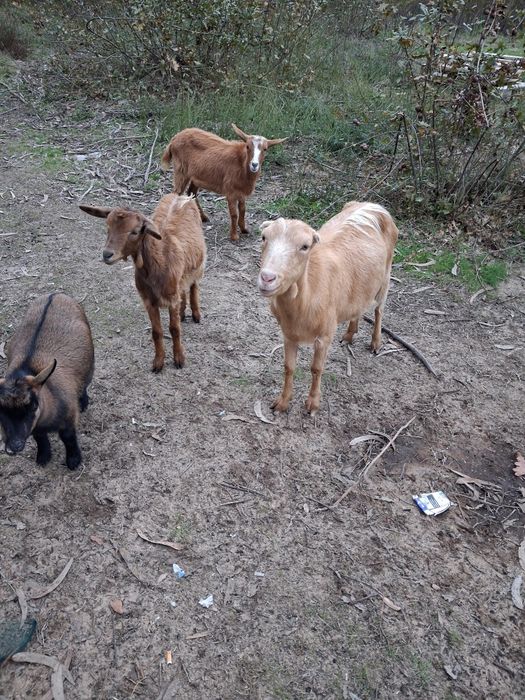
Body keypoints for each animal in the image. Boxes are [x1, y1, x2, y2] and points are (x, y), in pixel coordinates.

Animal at [0, 293, 94, 469]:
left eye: (33, 405)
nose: (14, 446)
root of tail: (56, 294)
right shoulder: (36, 427)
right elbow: (40, 437)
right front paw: (43, 457)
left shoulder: (69, 415)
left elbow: (68, 437)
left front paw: (73, 460)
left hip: (90, 364)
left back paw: (84, 401)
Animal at [80, 194, 206, 373]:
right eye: (108, 226)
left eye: (135, 231)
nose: (107, 254)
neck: (160, 259)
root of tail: (183, 196)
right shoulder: (148, 300)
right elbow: (156, 332)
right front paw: (158, 363)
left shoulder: (171, 299)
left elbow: (174, 329)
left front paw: (179, 359)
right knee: (183, 289)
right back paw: (183, 313)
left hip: (199, 264)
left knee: (194, 285)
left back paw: (196, 314)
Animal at [257, 202, 399, 415]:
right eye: (264, 237)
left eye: (305, 246)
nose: (267, 278)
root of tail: (373, 205)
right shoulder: (289, 334)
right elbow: (289, 367)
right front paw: (282, 402)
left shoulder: (324, 335)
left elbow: (316, 369)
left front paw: (312, 404)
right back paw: (349, 334)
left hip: (386, 276)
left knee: (379, 310)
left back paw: (376, 343)